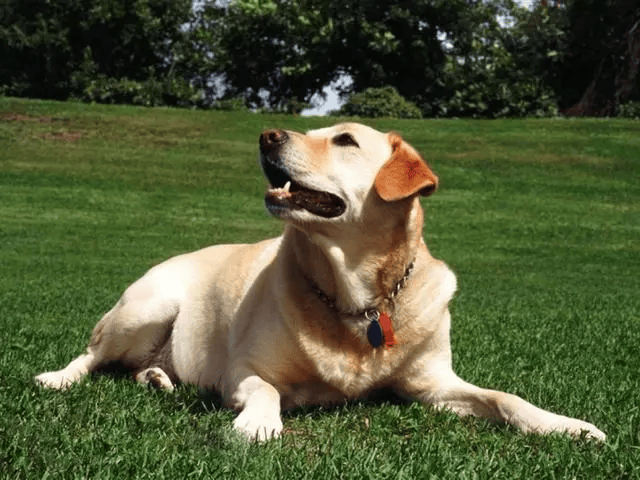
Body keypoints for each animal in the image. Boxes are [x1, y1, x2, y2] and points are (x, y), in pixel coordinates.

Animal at [35, 123, 604, 442]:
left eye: (344, 140)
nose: (266, 135)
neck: (358, 299)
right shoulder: (243, 369)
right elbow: (266, 390)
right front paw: (257, 424)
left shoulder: (434, 384)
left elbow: (507, 397)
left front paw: (567, 426)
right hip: (147, 305)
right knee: (92, 355)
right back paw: (58, 379)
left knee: (135, 368)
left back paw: (156, 378)